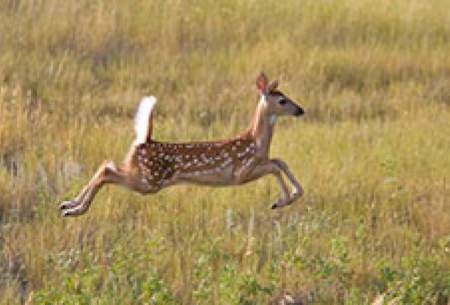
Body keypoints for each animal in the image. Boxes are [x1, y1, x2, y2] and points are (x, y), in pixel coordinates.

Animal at [59, 72, 304, 216]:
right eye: (282, 100)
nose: (300, 110)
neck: (257, 143)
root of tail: (144, 141)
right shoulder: (240, 172)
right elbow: (274, 166)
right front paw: (282, 201)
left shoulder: (258, 163)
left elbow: (279, 161)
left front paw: (290, 197)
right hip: (149, 181)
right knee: (107, 171)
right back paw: (75, 209)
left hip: (141, 175)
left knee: (106, 164)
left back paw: (68, 204)